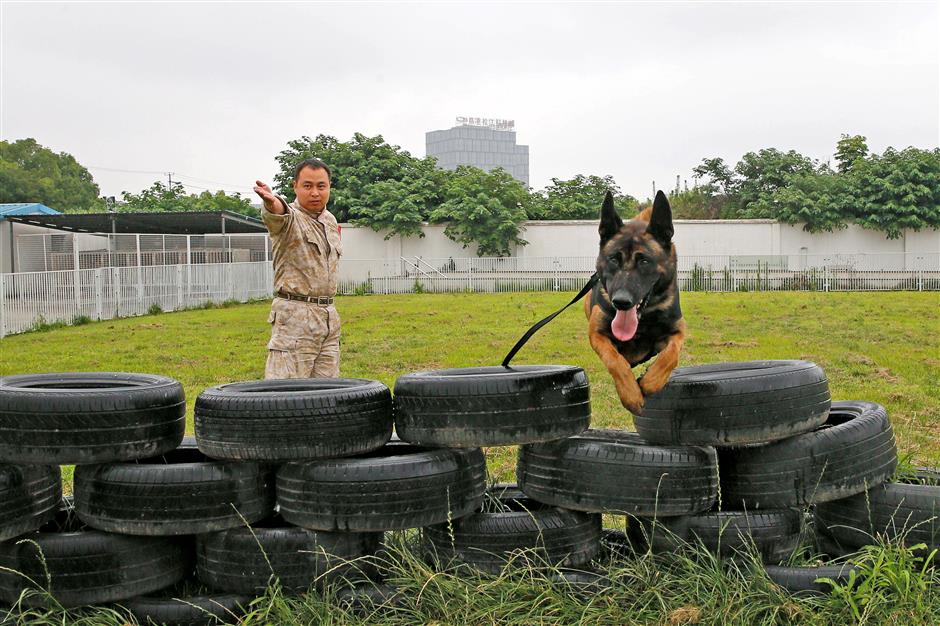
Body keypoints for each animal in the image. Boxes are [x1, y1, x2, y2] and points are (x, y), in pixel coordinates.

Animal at [584, 190, 688, 414]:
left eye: (645, 261)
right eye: (614, 259)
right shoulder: (597, 334)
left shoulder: (677, 332)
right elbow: (615, 361)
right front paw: (630, 394)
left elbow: (670, 356)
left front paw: (651, 381)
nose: (621, 302)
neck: (644, 319)